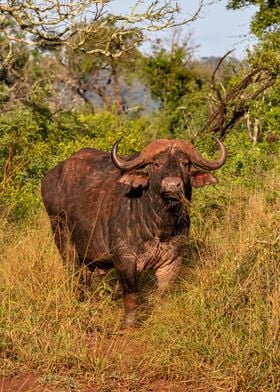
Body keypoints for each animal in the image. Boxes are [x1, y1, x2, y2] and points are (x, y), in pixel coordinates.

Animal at [41, 138, 225, 328]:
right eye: (156, 164)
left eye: (185, 163)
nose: (172, 185)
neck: (160, 225)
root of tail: (49, 178)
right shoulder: (125, 258)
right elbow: (131, 293)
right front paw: (129, 324)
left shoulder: (173, 259)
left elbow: (164, 292)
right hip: (60, 232)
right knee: (73, 272)